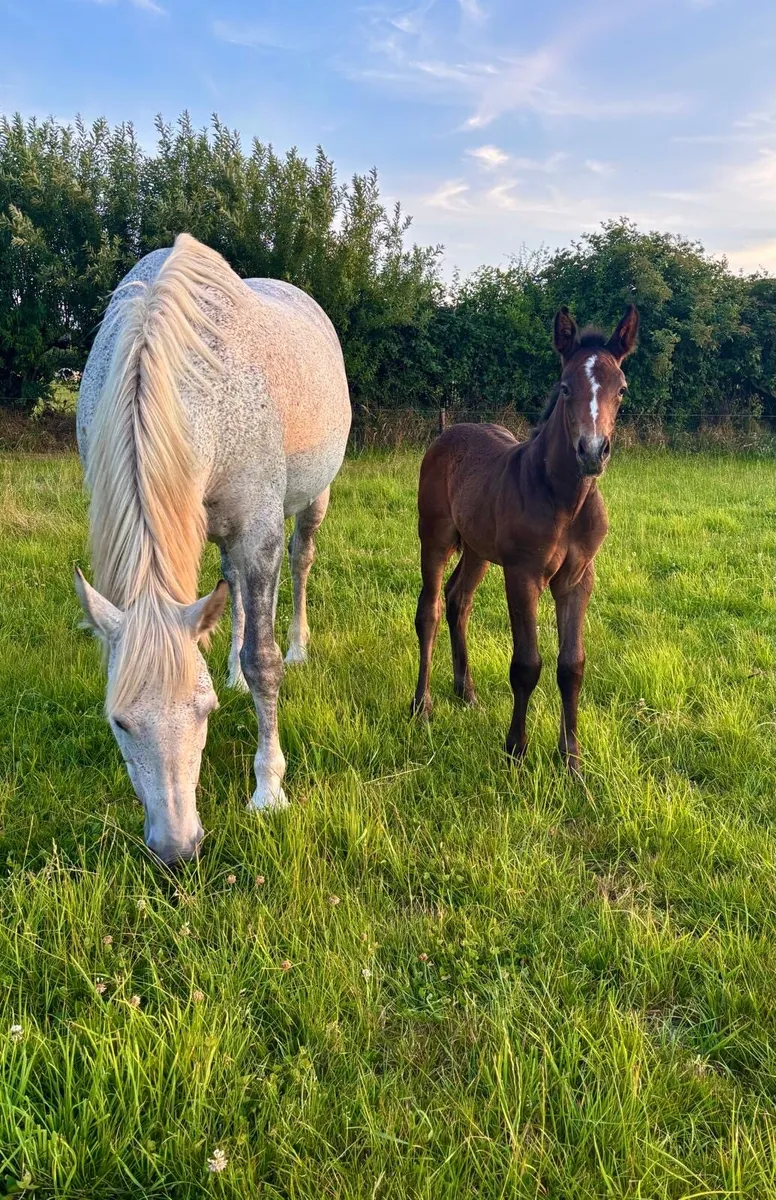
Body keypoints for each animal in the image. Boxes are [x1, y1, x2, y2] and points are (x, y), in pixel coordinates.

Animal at [75, 234, 351, 864]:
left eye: (204, 714)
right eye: (119, 722)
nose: (177, 848)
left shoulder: (260, 531)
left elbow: (263, 660)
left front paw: (269, 790)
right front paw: (233, 673)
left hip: (312, 501)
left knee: (300, 562)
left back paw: (298, 646)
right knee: (232, 591)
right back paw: (229, 668)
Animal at [411, 304, 639, 768]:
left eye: (622, 390)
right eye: (565, 387)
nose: (592, 451)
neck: (565, 500)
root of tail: (449, 431)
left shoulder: (578, 579)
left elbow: (572, 666)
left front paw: (571, 759)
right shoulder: (522, 575)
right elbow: (527, 664)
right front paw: (516, 749)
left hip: (477, 549)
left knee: (459, 601)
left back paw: (466, 691)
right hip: (436, 537)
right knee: (431, 609)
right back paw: (422, 704)